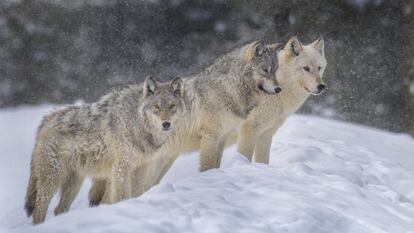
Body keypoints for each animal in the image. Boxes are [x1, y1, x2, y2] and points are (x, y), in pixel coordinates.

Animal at [24, 76, 186, 224]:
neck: (137, 122)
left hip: (74, 184)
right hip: (52, 179)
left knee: (58, 210)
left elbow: (137, 193)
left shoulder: (142, 168)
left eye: (172, 106)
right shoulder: (120, 168)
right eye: (156, 107)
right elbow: (122, 196)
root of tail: (47, 119)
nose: (166, 124)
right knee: (38, 212)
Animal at [87, 40, 282, 206]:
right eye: (266, 70)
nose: (279, 89)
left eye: (275, 70)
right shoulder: (210, 137)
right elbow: (207, 166)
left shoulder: (222, 139)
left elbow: (216, 166)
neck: (228, 89)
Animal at [238, 36, 328, 164]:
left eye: (319, 68)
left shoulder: (266, 134)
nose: (321, 86)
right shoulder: (250, 130)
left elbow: (263, 161)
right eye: (306, 68)